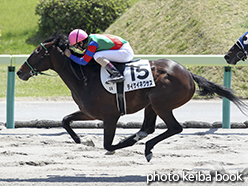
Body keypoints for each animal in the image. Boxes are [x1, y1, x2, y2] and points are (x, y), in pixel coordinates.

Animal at [17, 33, 246, 161]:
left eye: (37, 51)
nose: (20, 72)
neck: (83, 76)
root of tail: (188, 73)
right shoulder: (89, 112)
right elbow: (65, 120)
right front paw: (81, 139)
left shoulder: (110, 116)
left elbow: (108, 145)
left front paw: (114, 145)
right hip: (151, 104)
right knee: (149, 127)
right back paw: (140, 140)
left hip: (161, 103)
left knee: (174, 128)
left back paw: (145, 147)